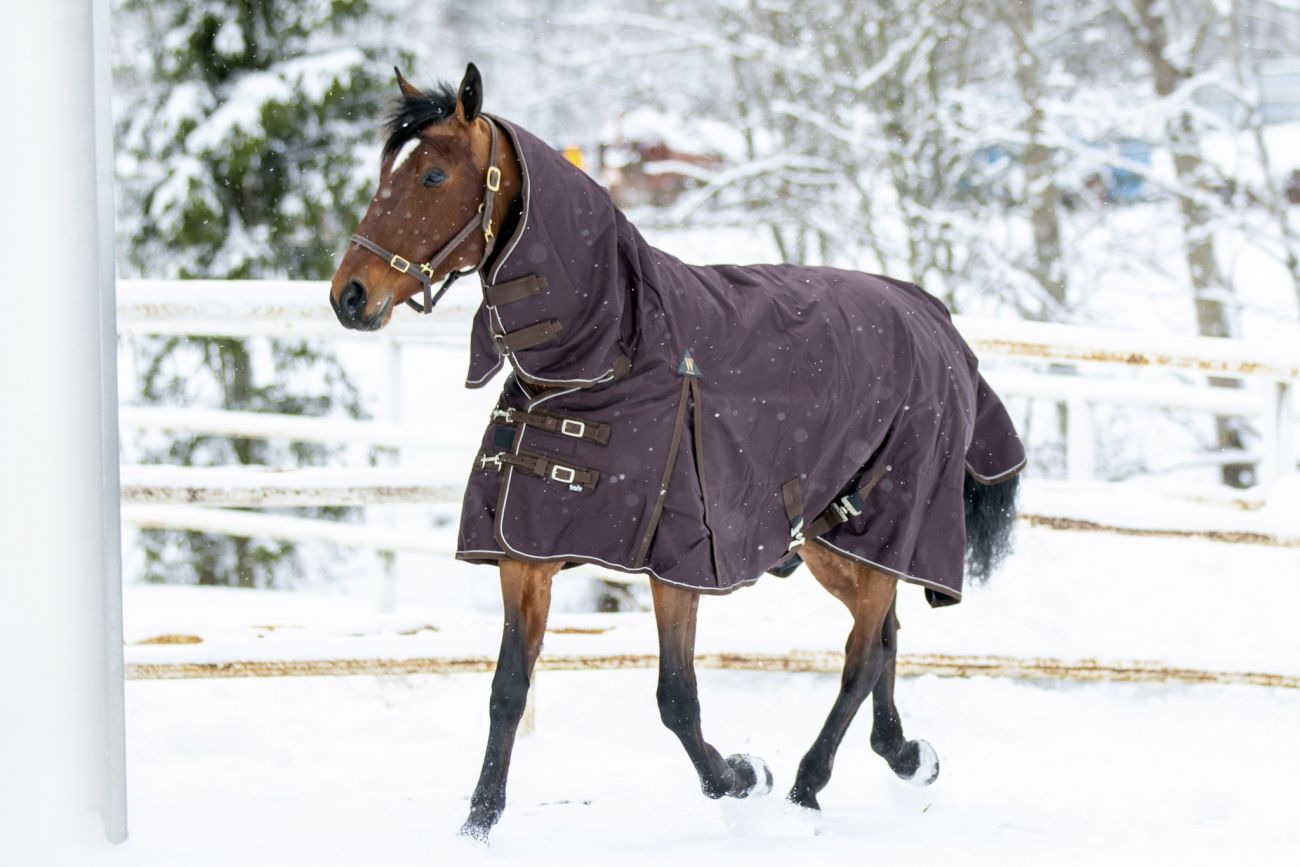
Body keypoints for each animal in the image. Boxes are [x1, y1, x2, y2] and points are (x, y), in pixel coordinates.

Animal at [329, 63, 1024, 843]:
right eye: (388, 169)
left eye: (433, 173)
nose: (349, 294)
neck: (605, 354)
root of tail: (933, 319)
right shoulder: (526, 549)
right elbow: (509, 689)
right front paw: (478, 824)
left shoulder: (679, 560)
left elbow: (676, 698)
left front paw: (743, 777)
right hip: (834, 538)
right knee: (884, 640)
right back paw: (904, 755)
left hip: (882, 525)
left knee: (859, 656)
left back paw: (809, 784)